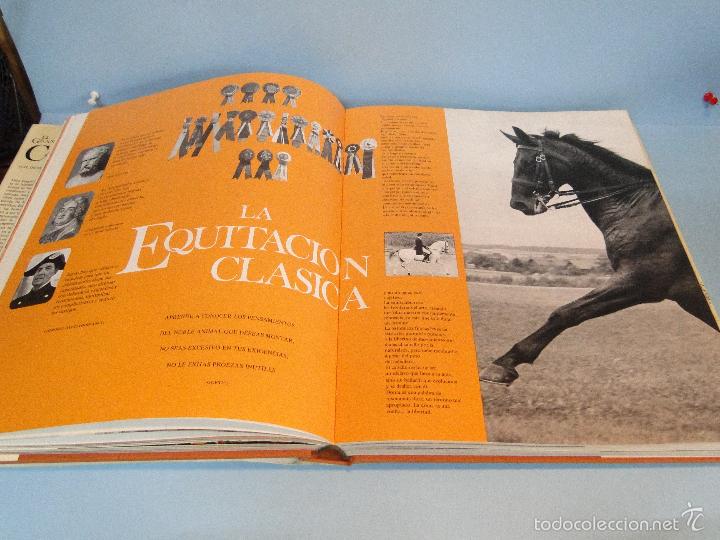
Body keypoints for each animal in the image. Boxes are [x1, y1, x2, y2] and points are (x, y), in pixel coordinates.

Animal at [479, 126, 719, 386]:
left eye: (529, 162)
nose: (518, 203)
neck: (635, 205)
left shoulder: (640, 281)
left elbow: (565, 313)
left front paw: (504, 363)